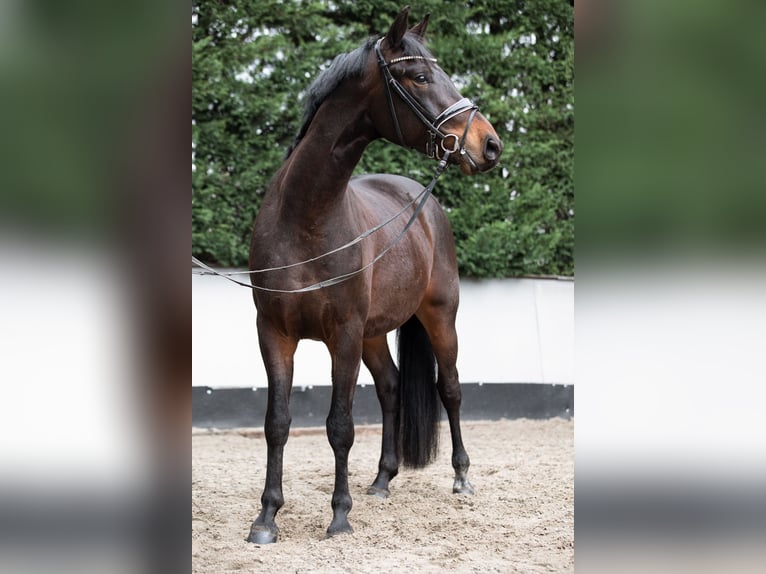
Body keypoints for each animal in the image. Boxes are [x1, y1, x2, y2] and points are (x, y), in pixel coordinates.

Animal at [246, 5, 508, 544]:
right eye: (421, 76)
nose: (489, 144)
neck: (306, 217)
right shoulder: (274, 333)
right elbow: (277, 421)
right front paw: (266, 518)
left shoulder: (342, 335)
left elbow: (340, 425)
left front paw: (339, 516)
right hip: (373, 333)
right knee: (390, 387)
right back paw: (384, 478)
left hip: (439, 317)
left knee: (450, 388)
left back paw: (461, 477)